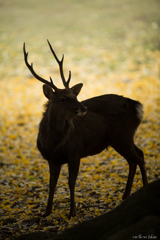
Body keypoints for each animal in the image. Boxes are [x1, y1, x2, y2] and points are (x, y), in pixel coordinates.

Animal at [23, 40, 148, 218]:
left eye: (75, 95)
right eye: (62, 98)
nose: (83, 107)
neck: (54, 144)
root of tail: (137, 106)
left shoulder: (75, 152)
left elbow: (71, 182)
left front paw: (72, 212)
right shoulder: (51, 159)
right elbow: (52, 183)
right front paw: (46, 212)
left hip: (123, 135)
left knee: (140, 155)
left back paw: (144, 188)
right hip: (118, 140)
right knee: (133, 160)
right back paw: (125, 196)